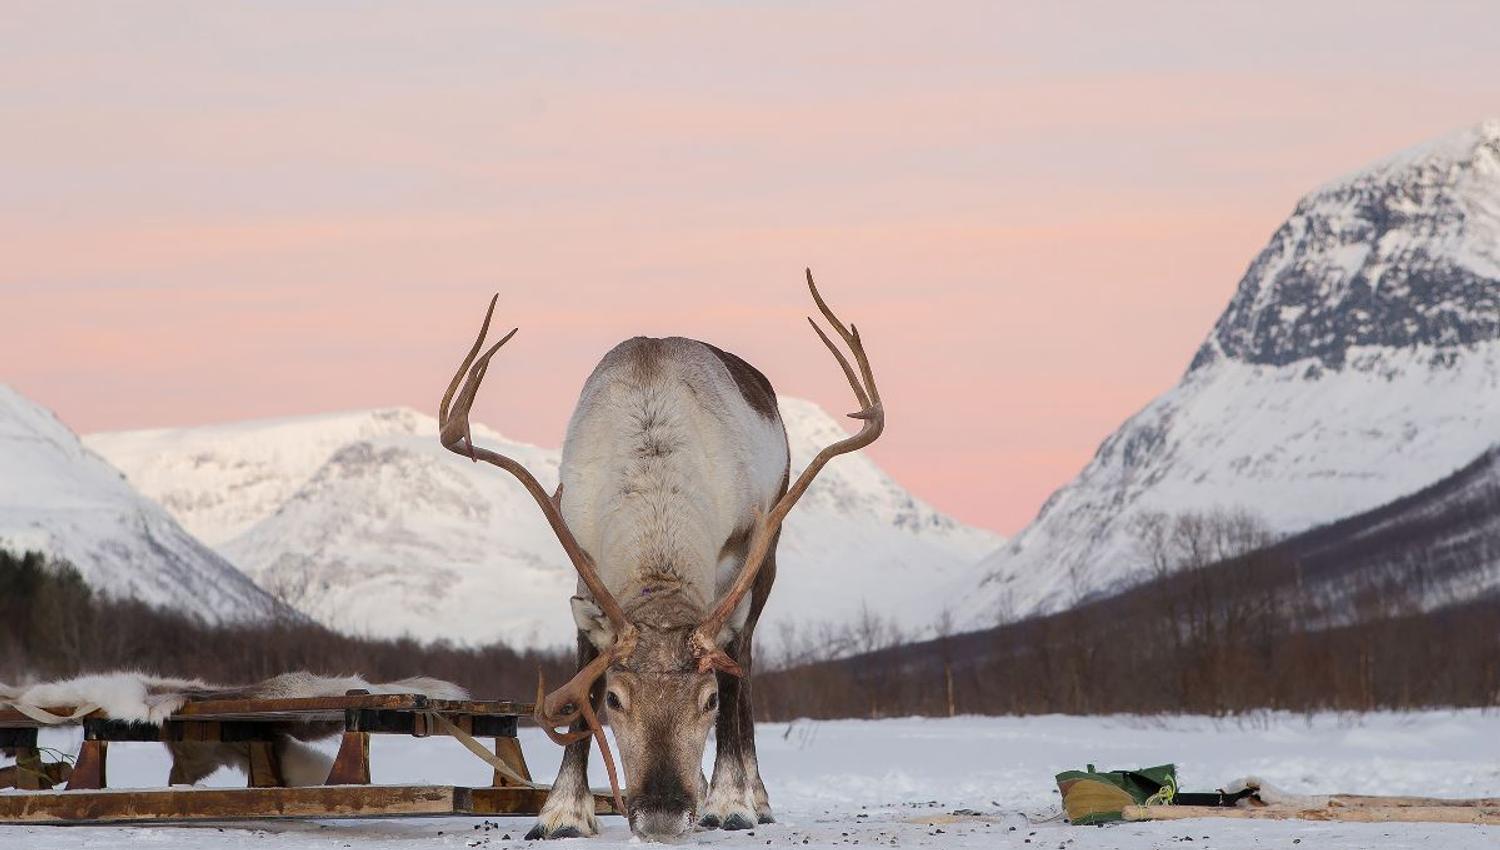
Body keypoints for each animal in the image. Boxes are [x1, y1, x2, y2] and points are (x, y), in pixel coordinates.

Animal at [438, 271, 882, 841]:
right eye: (614, 699)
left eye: (707, 699)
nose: (664, 813)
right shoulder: (585, 557)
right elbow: (583, 666)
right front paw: (562, 813)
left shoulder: (739, 553)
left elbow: (733, 673)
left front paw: (730, 804)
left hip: (770, 553)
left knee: (747, 662)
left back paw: (750, 797)